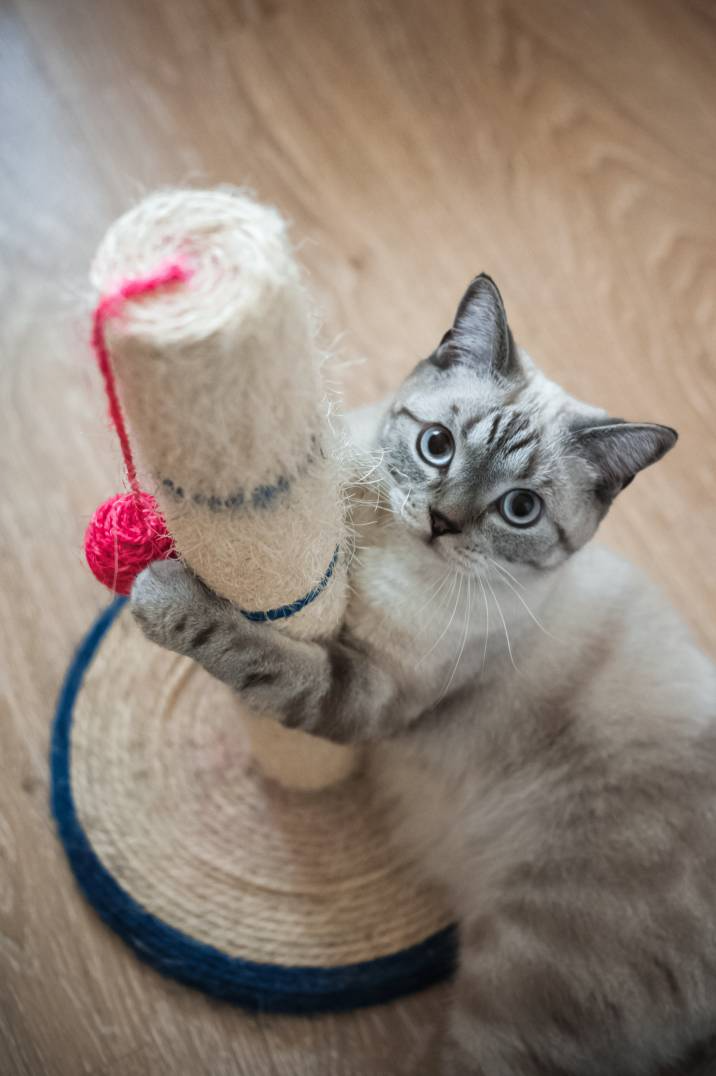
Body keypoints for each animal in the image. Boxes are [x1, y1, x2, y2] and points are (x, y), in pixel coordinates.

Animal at [129, 277, 714, 1076]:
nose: (441, 521)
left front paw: (165, 596)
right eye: (436, 447)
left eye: (519, 508)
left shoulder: (369, 696)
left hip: (519, 1002)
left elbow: (264, 654)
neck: (387, 549)